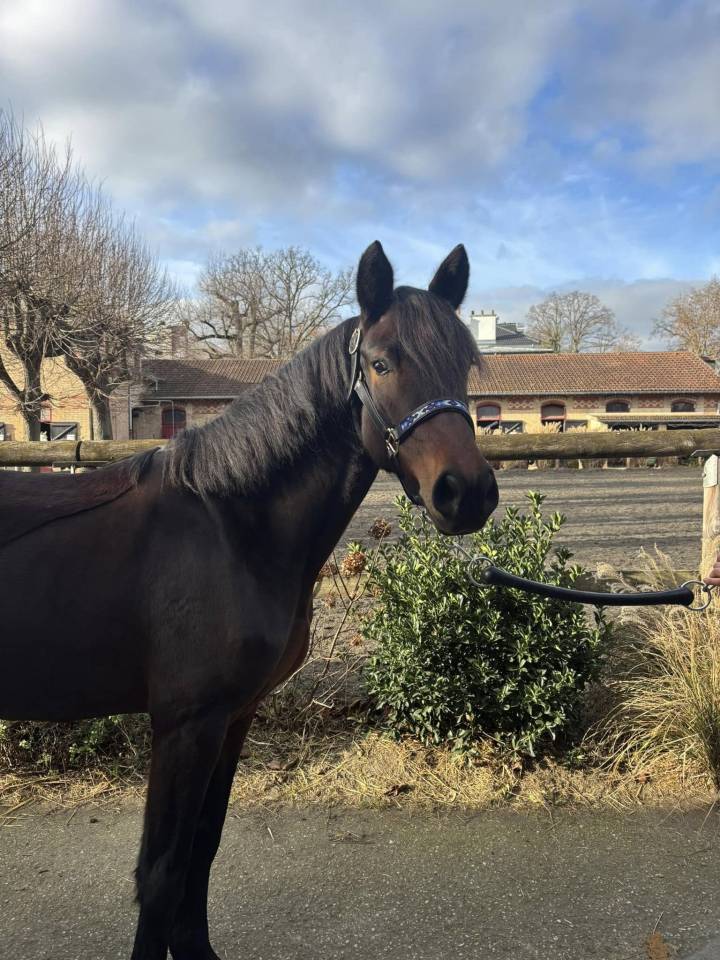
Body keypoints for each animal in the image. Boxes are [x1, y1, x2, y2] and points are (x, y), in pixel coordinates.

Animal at [0, 241, 499, 959]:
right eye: (381, 362)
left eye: (464, 365)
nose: (467, 493)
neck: (227, 524)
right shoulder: (185, 725)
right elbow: (161, 872)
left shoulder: (232, 717)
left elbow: (200, 853)